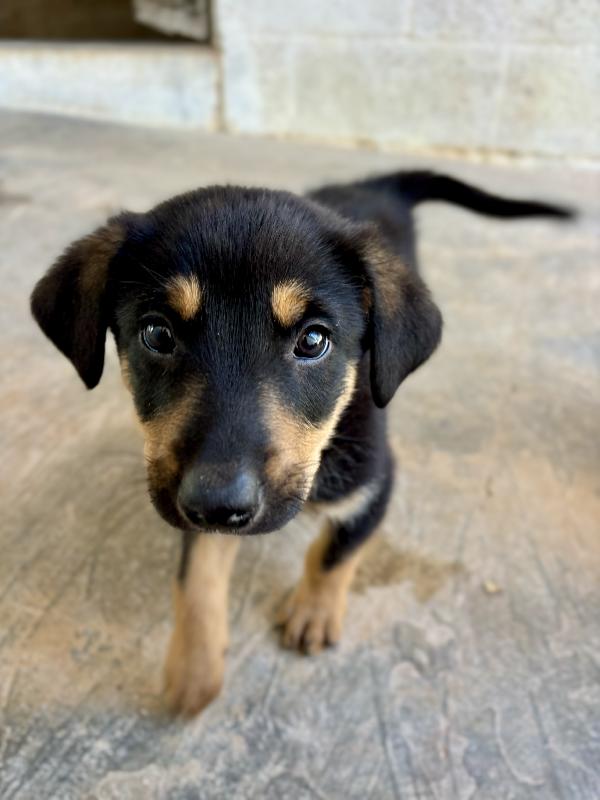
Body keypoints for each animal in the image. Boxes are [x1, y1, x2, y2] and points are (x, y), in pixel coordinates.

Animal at [30, 170, 571, 715]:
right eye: (157, 334)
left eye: (313, 341)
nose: (218, 503)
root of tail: (375, 182)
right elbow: (198, 578)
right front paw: (193, 669)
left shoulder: (375, 484)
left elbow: (336, 550)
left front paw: (314, 612)